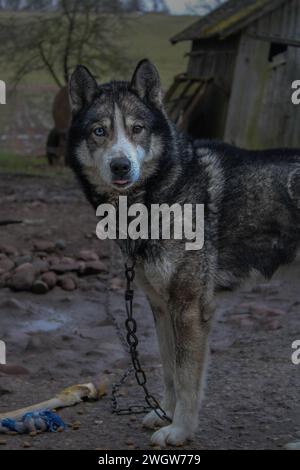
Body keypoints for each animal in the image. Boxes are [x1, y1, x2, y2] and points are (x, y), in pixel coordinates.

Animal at [68, 59, 300, 448]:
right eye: (100, 131)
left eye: (137, 129)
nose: (120, 166)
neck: (162, 191)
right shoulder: (161, 307)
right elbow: (170, 372)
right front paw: (164, 413)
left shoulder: (189, 307)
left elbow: (189, 377)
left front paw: (179, 430)